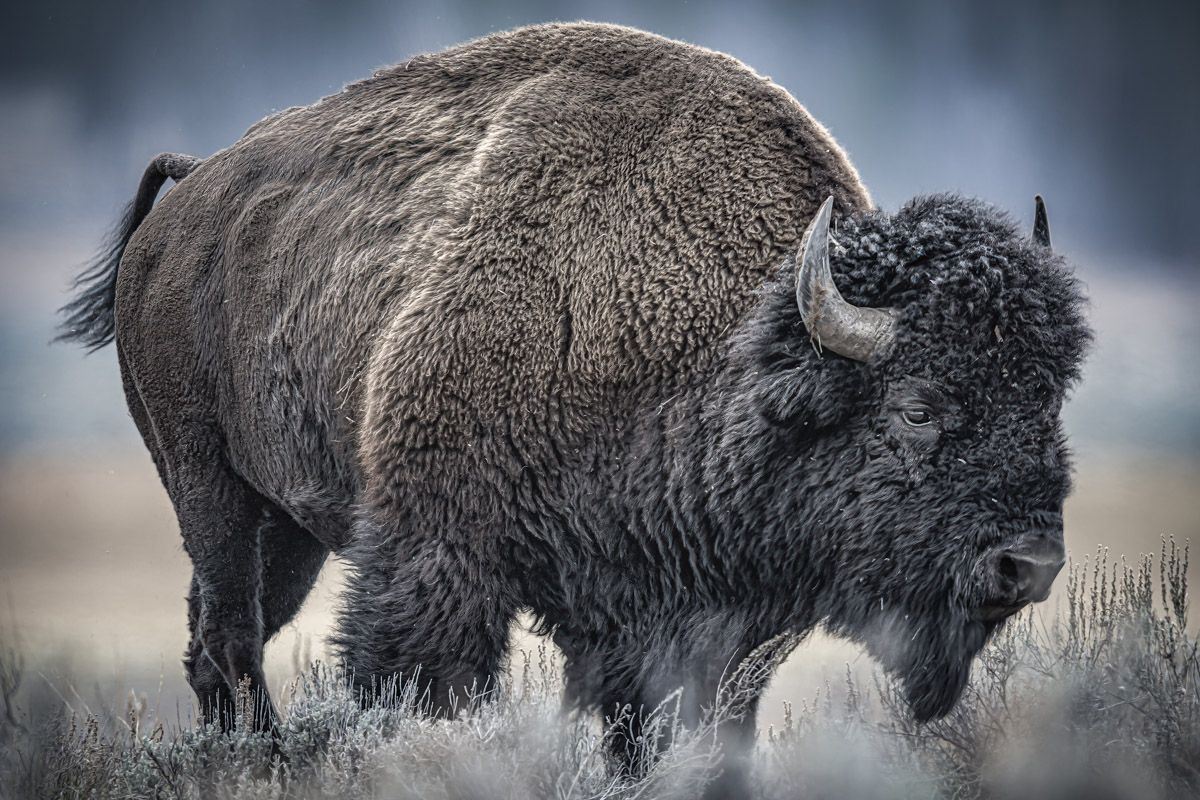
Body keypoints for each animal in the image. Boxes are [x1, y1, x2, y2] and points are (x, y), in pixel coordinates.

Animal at [61, 21, 1090, 795]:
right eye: (917, 408)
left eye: (1048, 396)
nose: (1029, 563)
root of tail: (188, 192)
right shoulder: (440, 560)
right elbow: (419, 693)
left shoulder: (699, 621)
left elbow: (670, 729)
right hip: (205, 483)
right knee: (231, 633)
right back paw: (261, 759)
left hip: (290, 526)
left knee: (215, 638)